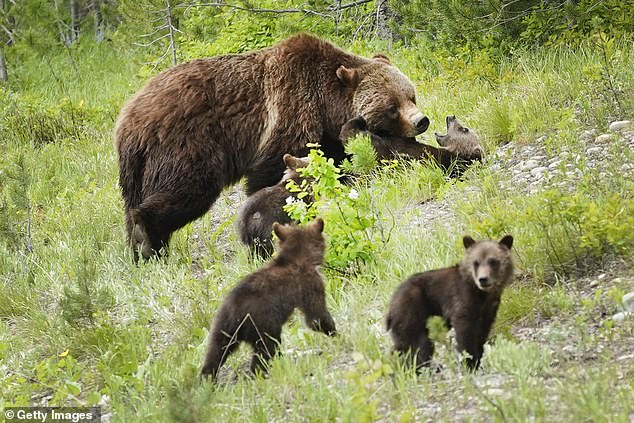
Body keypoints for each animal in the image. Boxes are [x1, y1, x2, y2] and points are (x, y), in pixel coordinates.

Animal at [116, 34, 428, 262]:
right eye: (392, 107)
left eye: (411, 94)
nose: (421, 121)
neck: (327, 104)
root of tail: (127, 121)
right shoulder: (290, 111)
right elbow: (272, 168)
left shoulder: (327, 133)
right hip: (185, 145)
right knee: (185, 190)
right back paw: (148, 243)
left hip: (138, 170)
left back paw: (139, 249)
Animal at [200, 219, 334, 380]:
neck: (297, 258)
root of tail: (235, 314)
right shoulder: (310, 284)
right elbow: (316, 316)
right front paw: (335, 333)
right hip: (263, 324)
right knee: (266, 349)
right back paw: (261, 372)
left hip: (221, 327)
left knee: (215, 352)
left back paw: (208, 378)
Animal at [386, 235, 512, 372]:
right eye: (476, 262)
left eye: (493, 261)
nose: (483, 279)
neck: (482, 294)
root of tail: (391, 303)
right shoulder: (462, 300)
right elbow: (465, 333)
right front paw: (470, 363)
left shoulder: (489, 309)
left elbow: (482, 333)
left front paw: (479, 360)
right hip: (411, 313)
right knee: (414, 345)